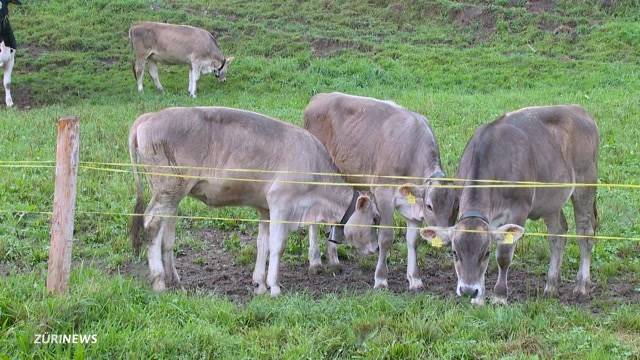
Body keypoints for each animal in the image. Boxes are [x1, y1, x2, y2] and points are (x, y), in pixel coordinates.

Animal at [129, 106, 380, 296]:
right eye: (376, 219)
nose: (377, 248)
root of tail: (148, 116)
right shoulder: (281, 203)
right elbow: (277, 246)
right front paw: (275, 287)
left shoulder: (265, 209)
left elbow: (263, 244)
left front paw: (260, 284)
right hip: (167, 189)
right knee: (151, 225)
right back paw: (159, 281)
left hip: (171, 195)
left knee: (165, 234)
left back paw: (174, 280)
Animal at [302, 92, 452, 290]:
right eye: (430, 206)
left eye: (455, 207)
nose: (445, 238)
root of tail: (319, 96)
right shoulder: (384, 194)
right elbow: (386, 238)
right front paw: (381, 279)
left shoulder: (410, 204)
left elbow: (413, 240)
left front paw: (415, 279)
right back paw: (315, 262)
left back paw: (334, 260)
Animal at [418, 105, 596, 306]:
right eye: (455, 253)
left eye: (486, 253)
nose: (468, 290)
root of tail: (579, 110)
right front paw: (479, 299)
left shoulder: (517, 212)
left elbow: (503, 256)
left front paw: (499, 295)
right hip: (551, 200)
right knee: (557, 234)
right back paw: (551, 286)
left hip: (585, 184)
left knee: (585, 232)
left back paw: (582, 285)